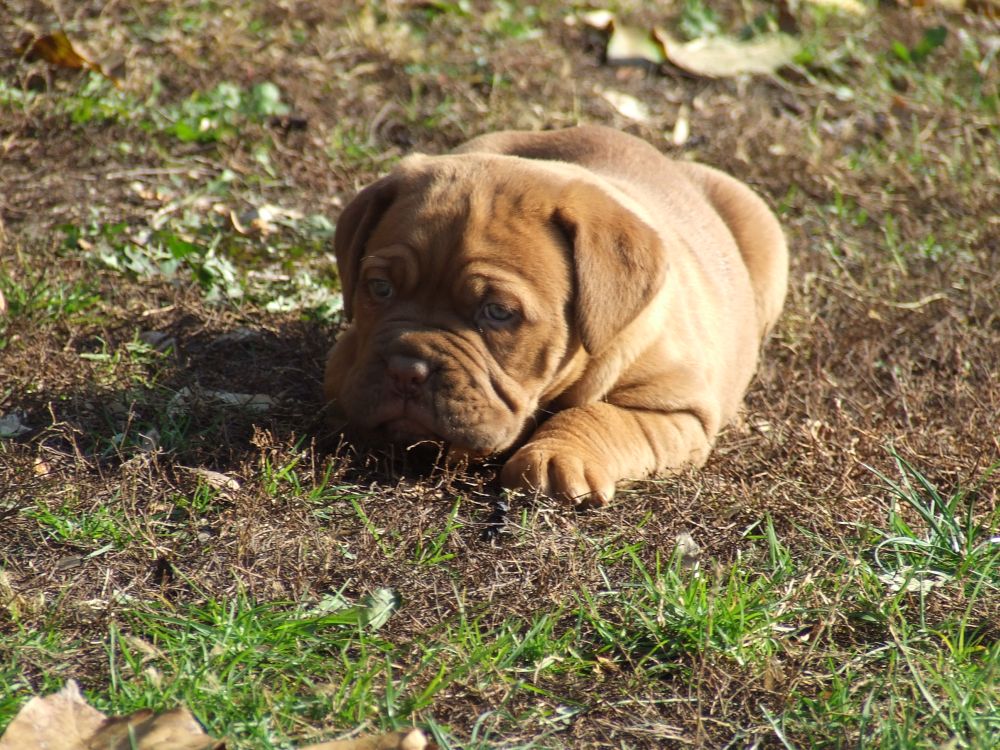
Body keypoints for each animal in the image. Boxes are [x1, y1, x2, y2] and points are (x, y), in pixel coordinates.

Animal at [324, 126, 784, 508]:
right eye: (380, 288)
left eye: (498, 312)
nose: (406, 370)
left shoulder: (678, 411)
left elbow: (601, 416)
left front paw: (555, 457)